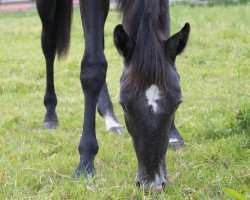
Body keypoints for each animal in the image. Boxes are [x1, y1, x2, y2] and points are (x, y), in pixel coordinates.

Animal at [36, 0, 189, 191]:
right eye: (124, 105)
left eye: (177, 103)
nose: (151, 183)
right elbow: (93, 66)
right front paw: (85, 162)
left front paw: (174, 136)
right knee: (48, 44)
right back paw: (50, 115)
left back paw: (109, 117)